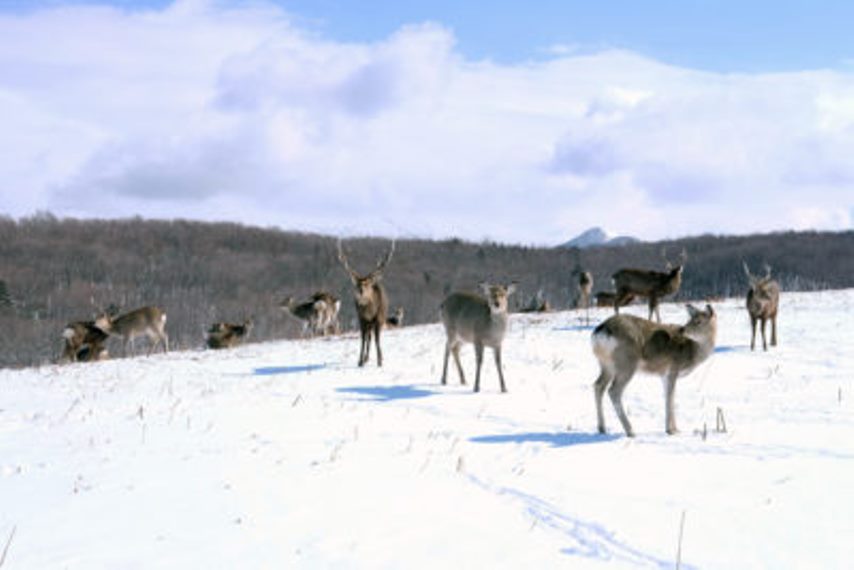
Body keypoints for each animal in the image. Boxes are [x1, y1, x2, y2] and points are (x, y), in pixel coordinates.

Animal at [340, 237, 396, 366]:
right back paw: (366, 358)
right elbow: (363, 339)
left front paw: (380, 361)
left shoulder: (378, 319)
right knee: (368, 337)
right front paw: (360, 361)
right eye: (357, 284)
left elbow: (377, 339)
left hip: (378, 321)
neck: (369, 312)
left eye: (367, 284)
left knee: (373, 337)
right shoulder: (361, 318)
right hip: (368, 324)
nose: (361, 291)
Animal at [592, 304, 720, 438]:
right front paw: (671, 430)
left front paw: (675, 429)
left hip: (606, 365)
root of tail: (601, 332)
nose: (682, 330)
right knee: (613, 391)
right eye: (690, 319)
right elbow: (670, 398)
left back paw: (602, 428)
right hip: (626, 363)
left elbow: (669, 397)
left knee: (598, 385)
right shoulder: (673, 369)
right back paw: (630, 431)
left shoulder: (663, 375)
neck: (692, 352)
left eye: (698, 321)